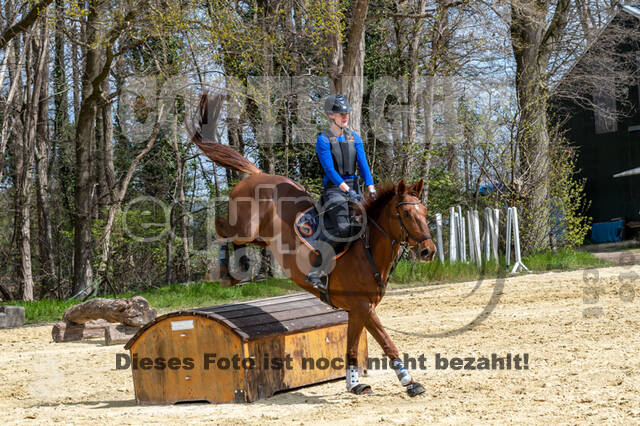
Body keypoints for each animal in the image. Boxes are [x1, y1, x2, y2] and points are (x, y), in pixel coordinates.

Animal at [190, 93, 438, 396]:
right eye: (406, 215)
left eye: (424, 212)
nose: (428, 251)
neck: (368, 251)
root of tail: (257, 174)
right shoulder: (364, 307)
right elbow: (387, 342)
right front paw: (410, 382)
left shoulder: (358, 309)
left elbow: (352, 347)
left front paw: (354, 384)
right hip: (244, 228)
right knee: (220, 227)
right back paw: (224, 271)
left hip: (260, 237)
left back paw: (236, 272)